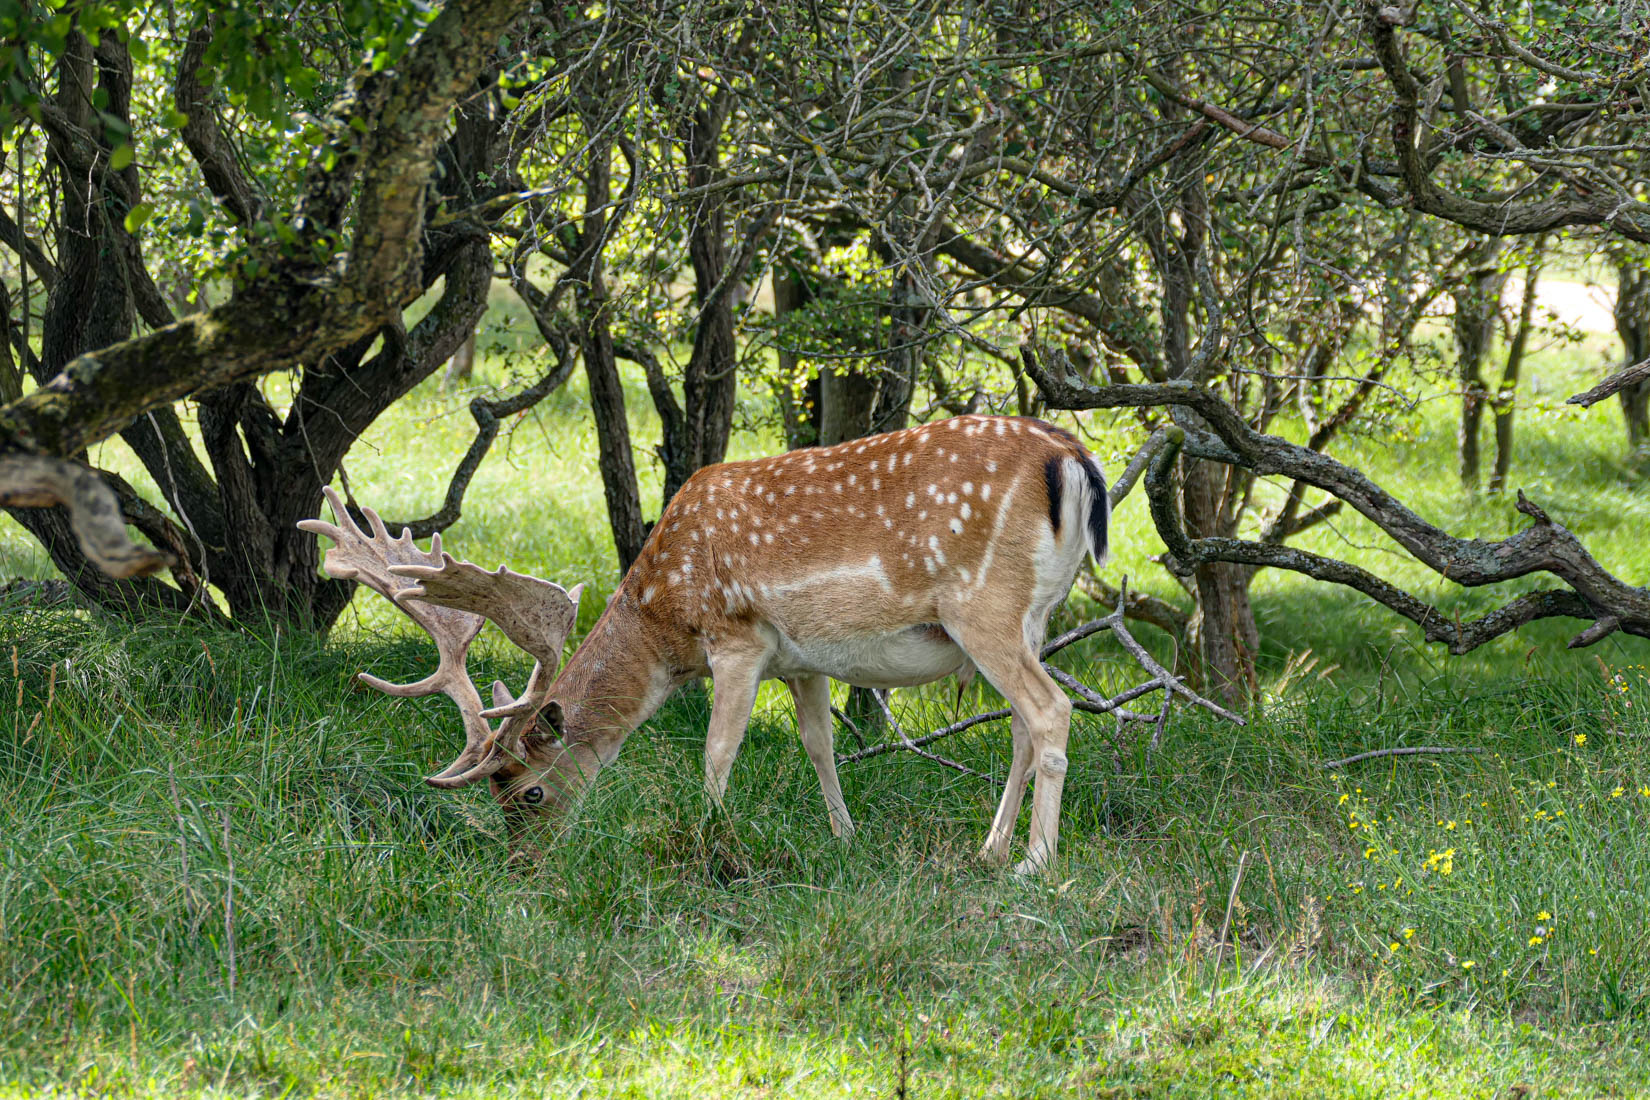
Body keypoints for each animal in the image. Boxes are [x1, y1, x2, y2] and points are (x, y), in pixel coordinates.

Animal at [300, 413, 1108, 874]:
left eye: (529, 792)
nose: (523, 865)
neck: (666, 619)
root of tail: (1073, 458)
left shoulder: (737, 634)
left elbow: (719, 750)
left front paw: (708, 840)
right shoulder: (805, 660)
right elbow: (819, 744)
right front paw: (845, 839)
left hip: (984, 605)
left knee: (1051, 711)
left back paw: (1036, 864)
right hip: (1031, 617)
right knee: (1021, 727)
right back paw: (991, 850)